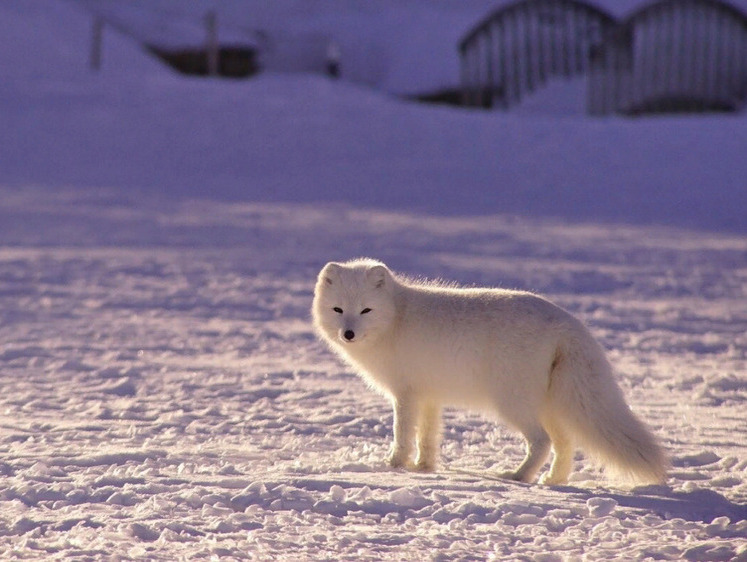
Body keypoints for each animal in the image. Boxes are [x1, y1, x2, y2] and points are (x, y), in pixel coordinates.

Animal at [312, 258, 668, 482]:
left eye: (366, 310)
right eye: (338, 309)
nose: (348, 334)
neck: (396, 318)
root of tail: (568, 323)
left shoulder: (406, 395)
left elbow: (402, 433)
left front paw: (395, 465)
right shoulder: (429, 396)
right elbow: (428, 436)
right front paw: (424, 468)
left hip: (512, 403)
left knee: (542, 441)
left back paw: (519, 476)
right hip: (551, 405)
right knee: (565, 443)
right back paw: (553, 480)